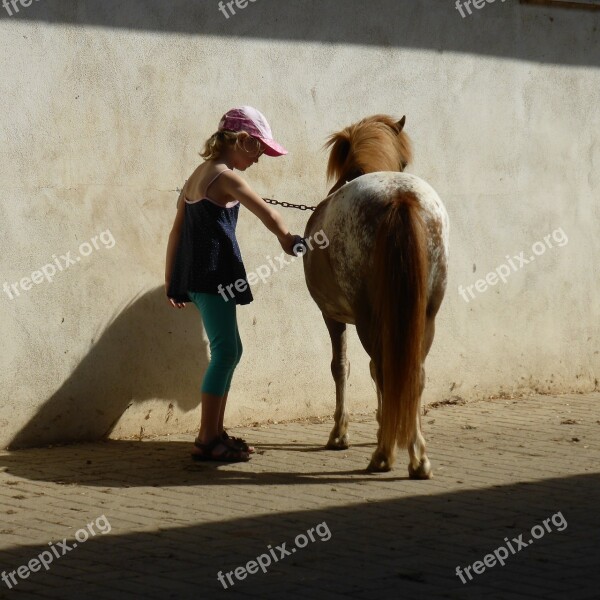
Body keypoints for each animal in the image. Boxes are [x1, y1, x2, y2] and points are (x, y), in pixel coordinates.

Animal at [302, 115, 448, 476]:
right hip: (425, 315)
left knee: (383, 368)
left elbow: (341, 366)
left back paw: (384, 454)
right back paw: (417, 457)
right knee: (413, 372)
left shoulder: (333, 316)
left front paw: (340, 434)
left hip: (370, 317)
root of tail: (399, 197)